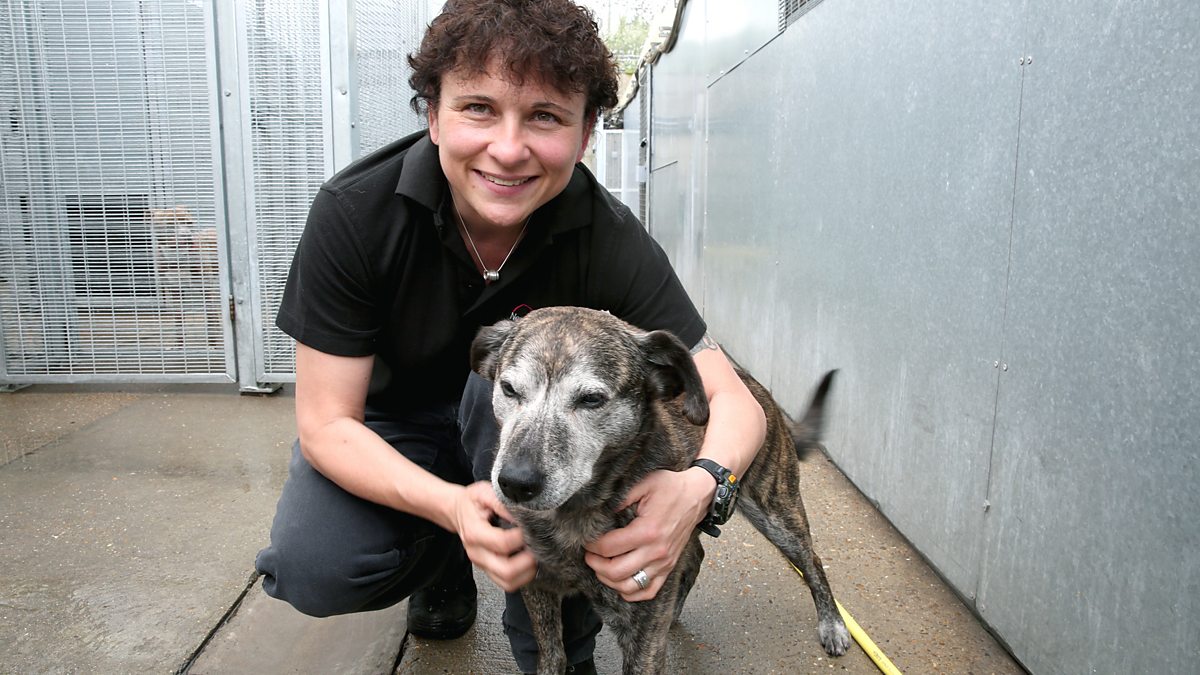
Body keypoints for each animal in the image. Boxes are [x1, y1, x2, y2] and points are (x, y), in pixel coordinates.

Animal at [470, 306, 851, 673]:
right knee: (695, 557)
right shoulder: (538, 589)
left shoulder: (641, 626)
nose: (516, 483)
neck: (576, 513)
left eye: (591, 399)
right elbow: (552, 655)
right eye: (509, 389)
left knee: (812, 561)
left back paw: (833, 625)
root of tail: (753, 388)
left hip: (775, 511)